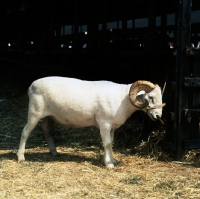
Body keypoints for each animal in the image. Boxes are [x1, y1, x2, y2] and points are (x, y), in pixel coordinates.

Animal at [16, 76, 164, 168]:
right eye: (151, 97)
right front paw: (109, 164)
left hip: (50, 116)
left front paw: (112, 160)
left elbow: (111, 143)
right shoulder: (104, 123)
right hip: (35, 112)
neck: (123, 99)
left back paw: (54, 152)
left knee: (47, 130)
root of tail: (31, 86)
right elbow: (107, 143)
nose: (158, 116)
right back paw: (21, 157)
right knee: (25, 132)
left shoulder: (111, 126)